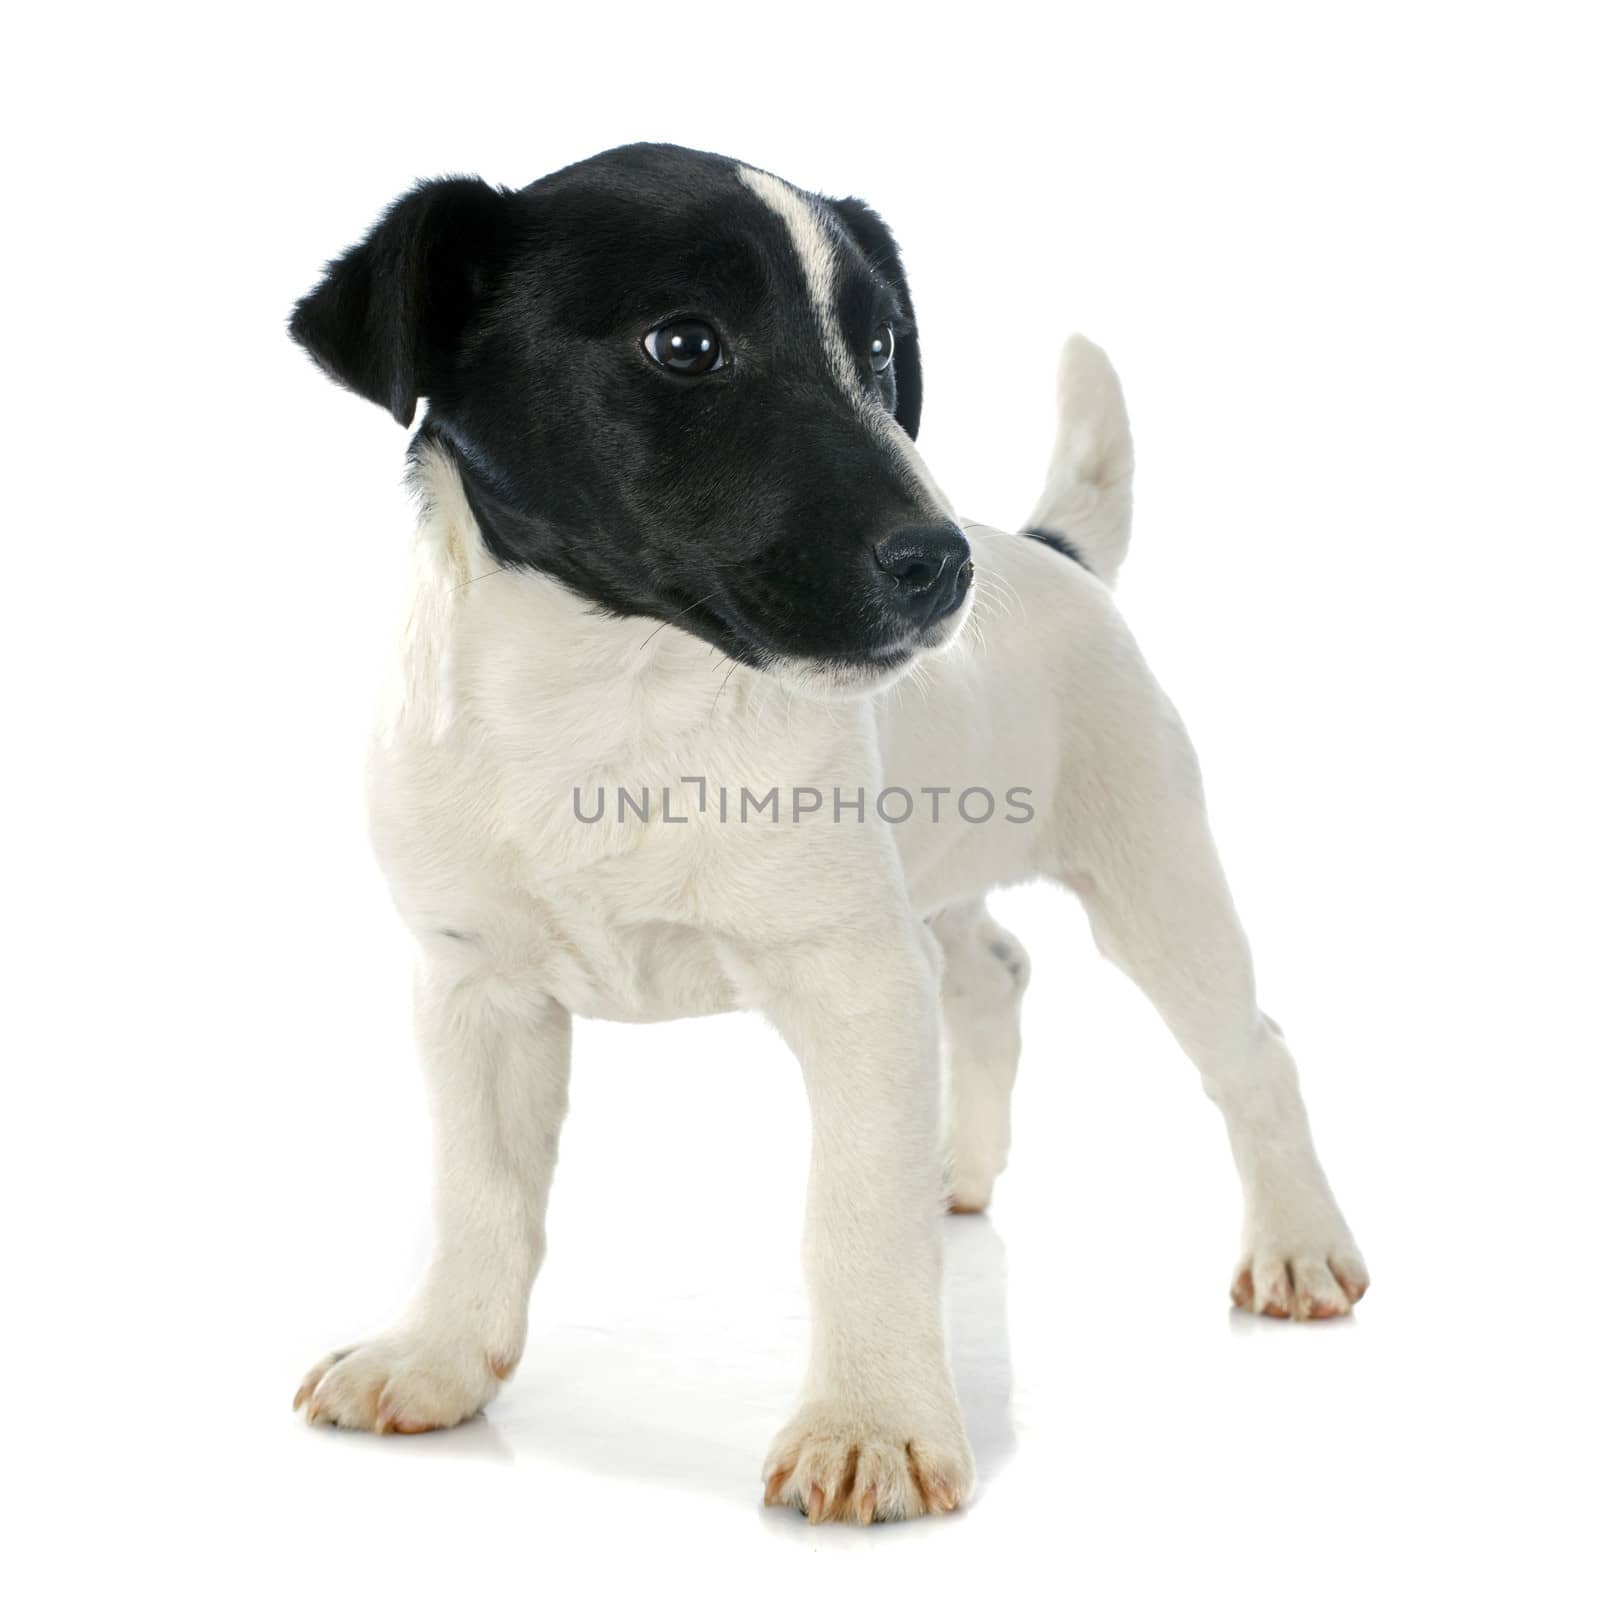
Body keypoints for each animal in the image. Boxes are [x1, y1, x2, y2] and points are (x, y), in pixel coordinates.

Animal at [284, 144, 1363, 1516]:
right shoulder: (474, 989)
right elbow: (478, 1192)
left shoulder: (852, 982)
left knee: (1252, 1054)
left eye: (883, 344)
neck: (615, 699)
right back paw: (956, 1164)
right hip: (936, 892)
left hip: (1155, 880)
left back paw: (1301, 1246)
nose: (943, 566)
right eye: (685, 343)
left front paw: (870, 1425)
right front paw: (434, 1357)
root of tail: (1052, 554)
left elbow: (852, 1217)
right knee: (993, 973)